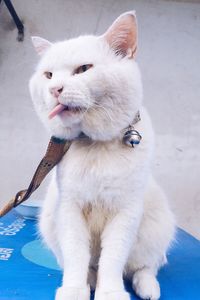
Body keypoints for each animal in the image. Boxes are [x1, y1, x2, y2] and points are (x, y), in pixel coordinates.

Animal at [29, 11, 175, 300]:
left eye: (84, 69)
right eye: (48, 75)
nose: (55, 89)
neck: (94, 144)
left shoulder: (125, 214)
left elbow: (113, 260)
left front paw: (111, 292)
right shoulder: (69, 209)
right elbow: (76, 256)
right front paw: (74, 289)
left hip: (157, 226)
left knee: (145, 266)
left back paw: (147, 288)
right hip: (50, 221)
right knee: (87, 264)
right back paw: (89, 280)